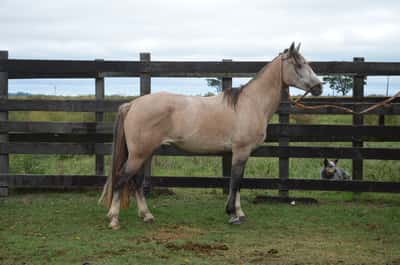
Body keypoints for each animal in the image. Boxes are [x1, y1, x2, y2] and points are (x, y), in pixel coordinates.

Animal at [99, 42, 322, 228]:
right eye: (299, 65)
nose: (319, 87)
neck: (250, 103)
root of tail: (133, 104)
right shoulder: (241, 151)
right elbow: (235, 181)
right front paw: (232, 214)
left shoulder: (242, 153)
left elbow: (238, 183)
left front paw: (239, 213)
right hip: (139, 154)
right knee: (121, 179)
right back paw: (114, 219)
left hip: (145, 153)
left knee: (136, 181)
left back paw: (146, 215)